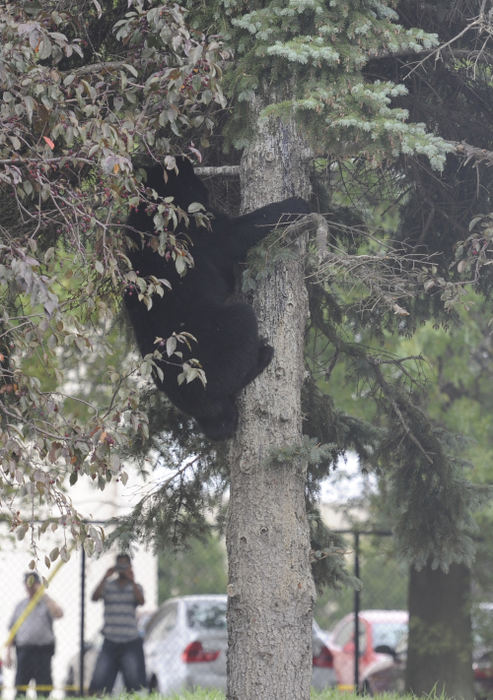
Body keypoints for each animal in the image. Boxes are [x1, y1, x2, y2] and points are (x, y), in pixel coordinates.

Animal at [124, 160, 308, 442]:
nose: (207, 189)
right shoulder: (195, 229)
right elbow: (235, 234)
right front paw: (298, 203)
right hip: (211, 348)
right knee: (240, 329)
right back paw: (261, 357)